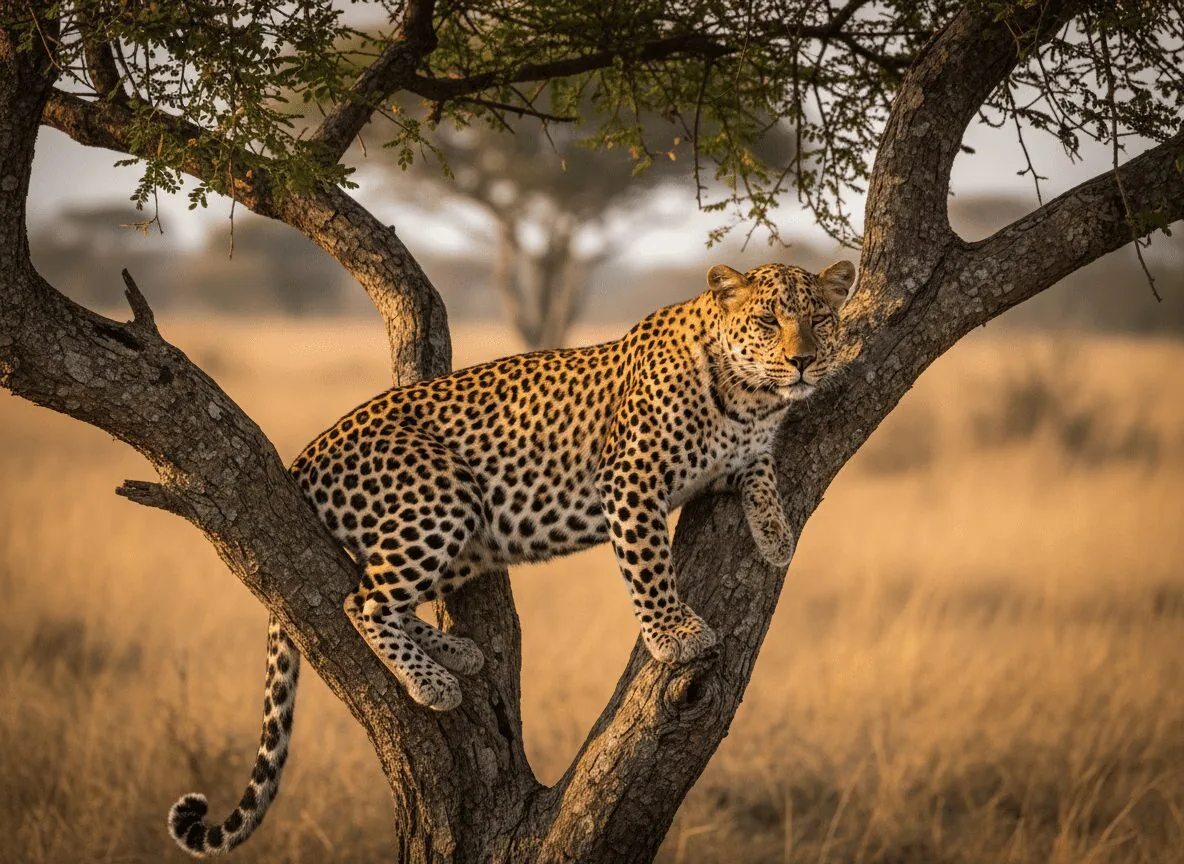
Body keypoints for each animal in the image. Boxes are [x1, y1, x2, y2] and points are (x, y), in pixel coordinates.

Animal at [167, 259, 856, 857]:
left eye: (821, 318)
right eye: (767, 320)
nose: (803, 361)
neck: (748, 397)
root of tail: (305, 456)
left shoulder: (742, 455)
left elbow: (760, 473)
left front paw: (775, 534)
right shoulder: (630, 479)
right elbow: (650, 566)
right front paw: (674, 633)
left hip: (467, 536)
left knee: (385, 591)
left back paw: (457, 651)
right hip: (442, 495)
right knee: (359, 599)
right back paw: (433, 681)